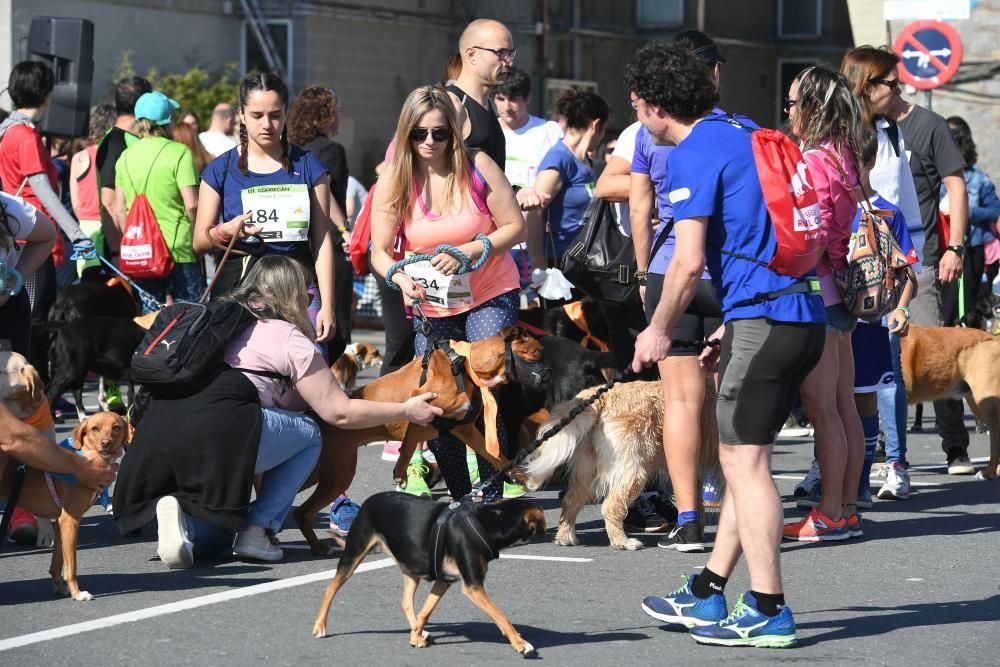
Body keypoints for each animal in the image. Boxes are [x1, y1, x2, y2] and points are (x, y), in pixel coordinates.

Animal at [312, 494, 548, 656]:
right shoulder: (473, 586)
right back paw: (319, 626)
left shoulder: (445, 580)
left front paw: (416, 635)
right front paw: (520, 643)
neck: (487, 523)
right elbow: (501, 616)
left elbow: (426, 611)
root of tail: (370, 500)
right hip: (354, 553)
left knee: (406, 602)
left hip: (412, 567)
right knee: (330, 588)